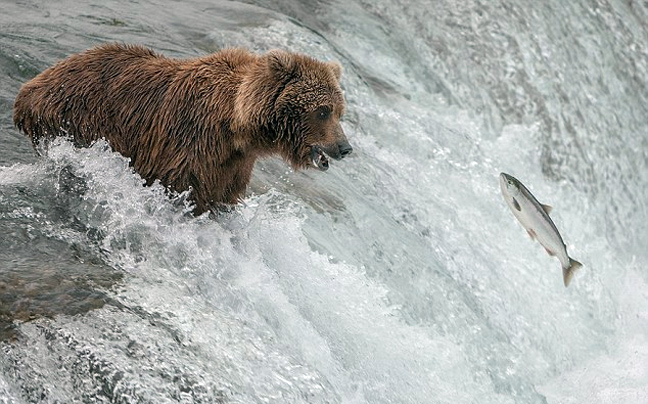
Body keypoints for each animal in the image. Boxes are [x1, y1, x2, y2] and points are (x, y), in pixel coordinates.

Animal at [12, 43, 352, 215]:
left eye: (339, 111)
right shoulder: (190, 144)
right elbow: (183, 188)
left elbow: (221, 197)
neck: (237, 128)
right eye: (322, 111)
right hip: (80, 118)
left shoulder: (232, 166)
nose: (345, 147)